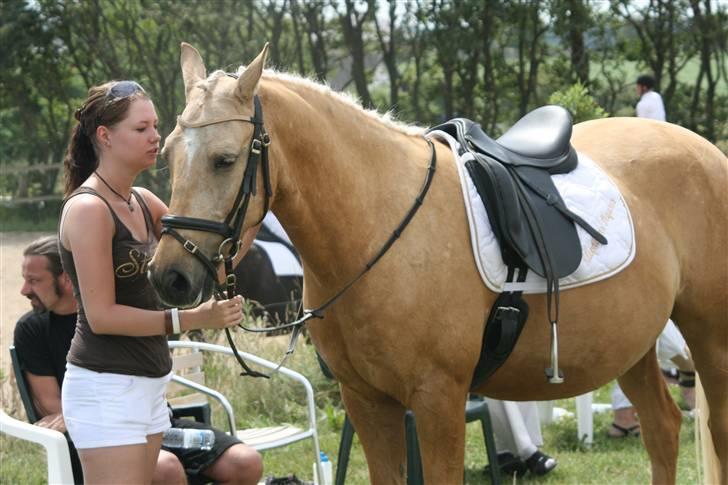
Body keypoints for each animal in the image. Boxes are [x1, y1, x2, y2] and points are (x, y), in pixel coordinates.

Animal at [149, 43, 728, 482]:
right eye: (169, 152)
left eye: (225, 160)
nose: (169, 276)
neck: (377, 226)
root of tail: (705, 151)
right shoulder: (368, 404)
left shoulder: (438, 402)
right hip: (632, 344)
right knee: (663, 429)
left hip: (710, 337)